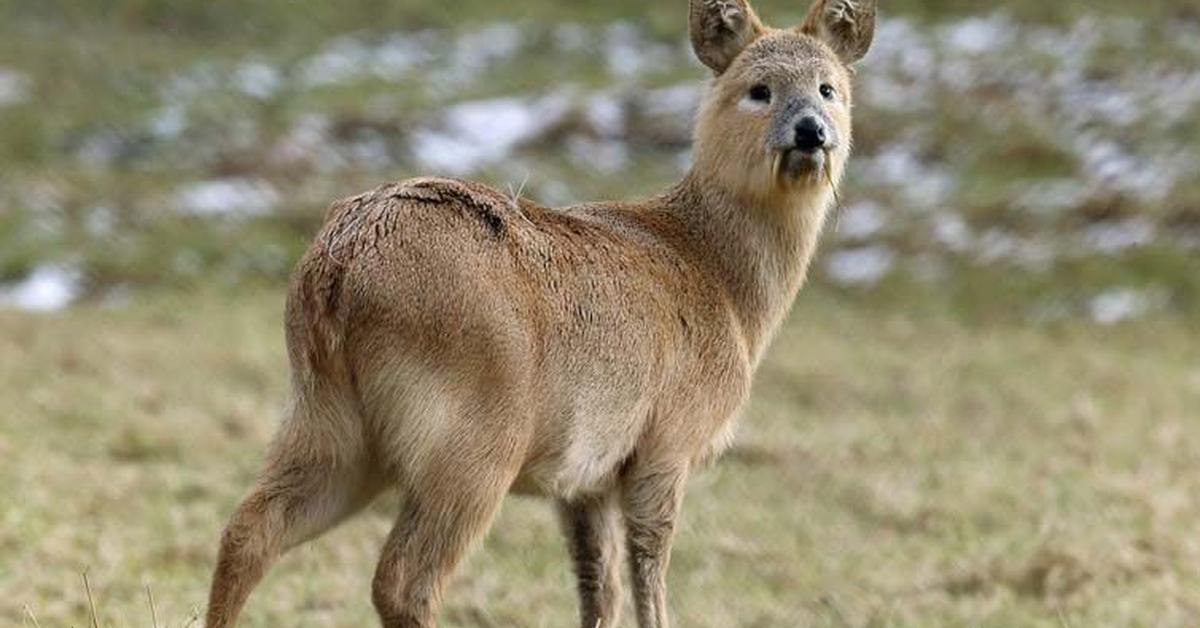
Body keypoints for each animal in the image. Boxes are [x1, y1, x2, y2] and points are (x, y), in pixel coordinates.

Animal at [206, 1, 878, 628]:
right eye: (758, 89)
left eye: (828, 87)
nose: (812, 131)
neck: (720, 279)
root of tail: (337, 267)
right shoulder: (668, 439)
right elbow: (648, 567)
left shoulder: (583, 477)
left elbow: (596, 584)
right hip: (472, 436)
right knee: (401, 580)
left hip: (327, 419)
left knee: (249, 531)